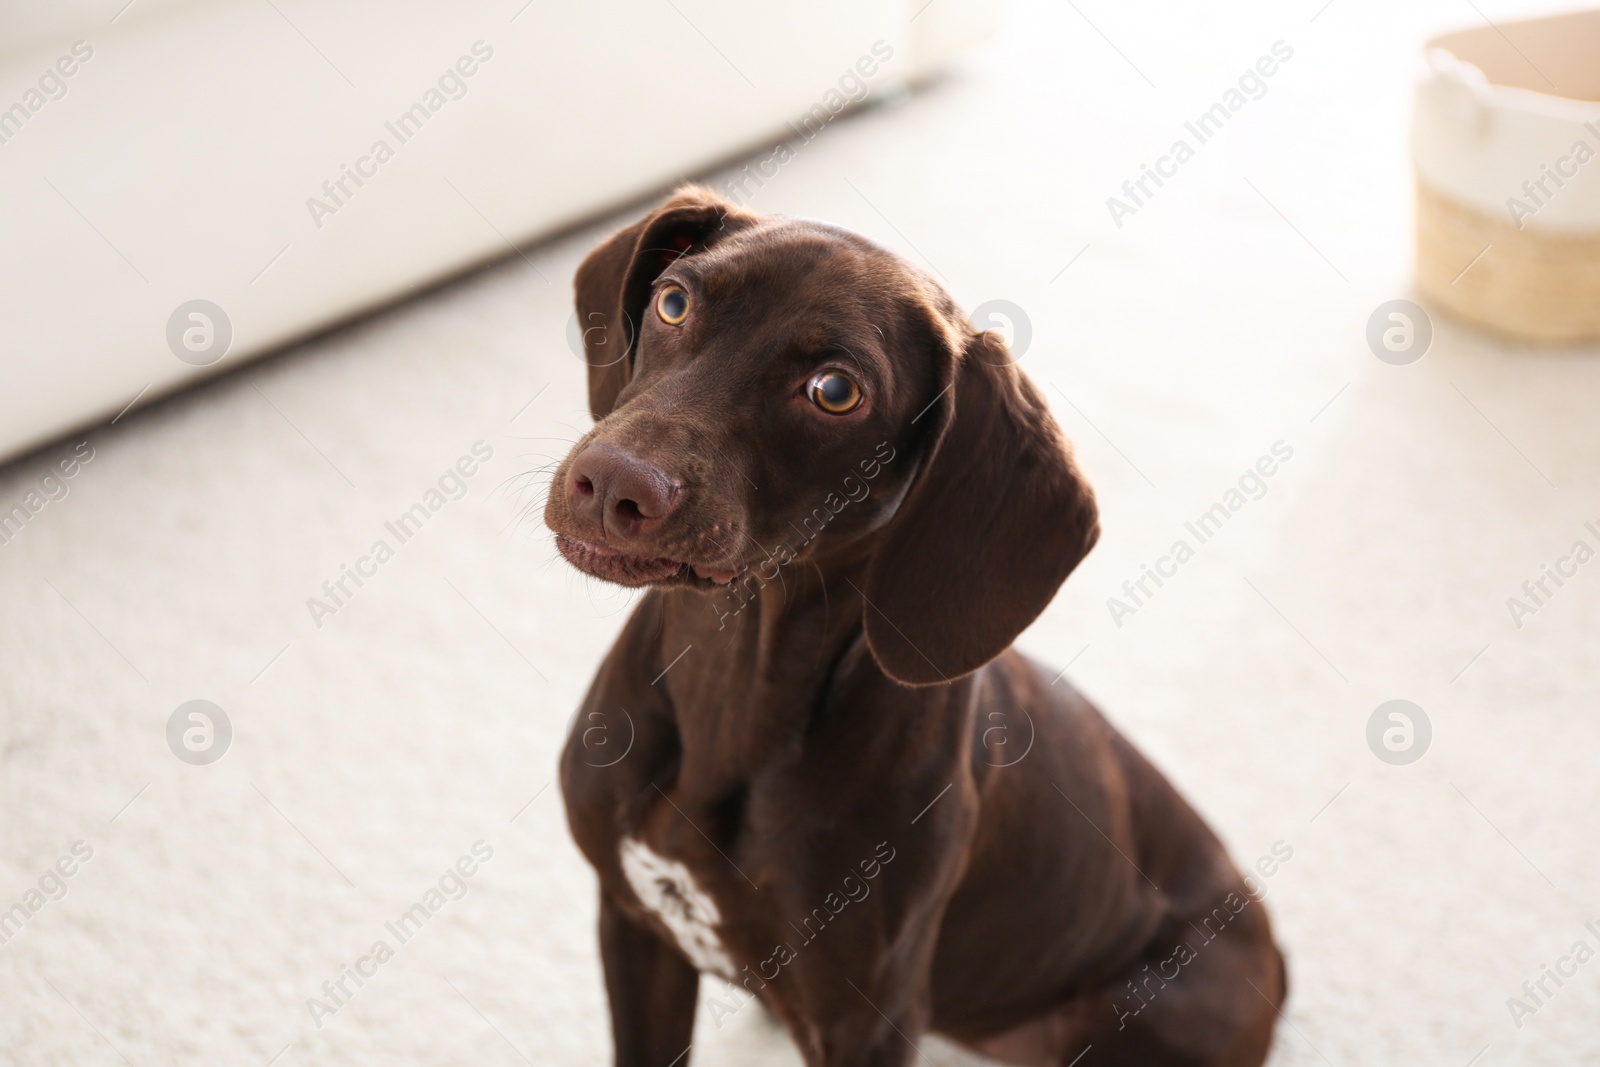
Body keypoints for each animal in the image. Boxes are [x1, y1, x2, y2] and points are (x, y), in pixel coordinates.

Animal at [547, 187, 1286, 1062]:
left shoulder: (868, 1020)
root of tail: (1276, 954)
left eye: (836, 390)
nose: (611, 484)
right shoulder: (635, 928)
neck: (729, 682)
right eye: (673, 301)